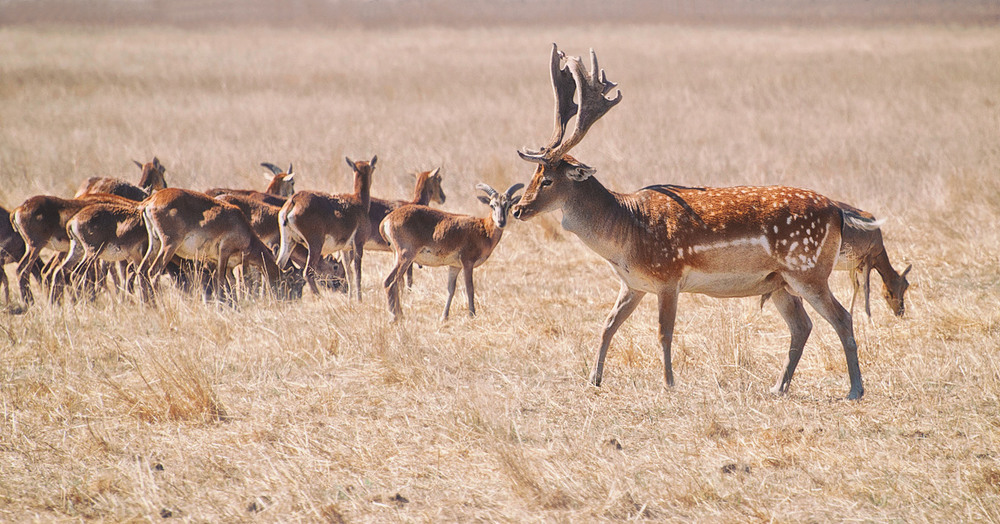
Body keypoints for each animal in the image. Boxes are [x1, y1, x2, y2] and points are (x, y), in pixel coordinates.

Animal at [278, 156, 376, 298]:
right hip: (315, 246)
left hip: (288, 242)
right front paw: (359, 299)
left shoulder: (344, 249)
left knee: (278, 265)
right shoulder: (359, 244)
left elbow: (349, 273)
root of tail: (294, 200)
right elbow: (357, 273)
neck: (358, 203)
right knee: (308, 273)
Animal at [378, 184, 524, 324]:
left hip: (397, 256)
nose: (501, 222)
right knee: (390, 282)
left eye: (508, 204)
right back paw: (395, 317)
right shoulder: (467, 263)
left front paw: (444, 317)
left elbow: (450, 290)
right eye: (492, 205)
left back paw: (400, 315)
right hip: (405, 256)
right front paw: (472, 315)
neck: (483, 229)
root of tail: (387, 219)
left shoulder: (455, 266)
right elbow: (470, 288)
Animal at [512, 45, 872, 400]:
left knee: (842, 316)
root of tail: (837, 212)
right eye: (533, 175)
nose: (518, 209)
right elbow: (608, 324)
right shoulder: (632, 284)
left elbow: (664, 332)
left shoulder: (668, 275)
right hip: (780, 281)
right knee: (802, 325)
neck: (626, 233)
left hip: (808, 270)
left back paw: (855, 389)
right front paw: (594, 379)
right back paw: (778, 387)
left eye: (548, 180)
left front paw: (669, 383)